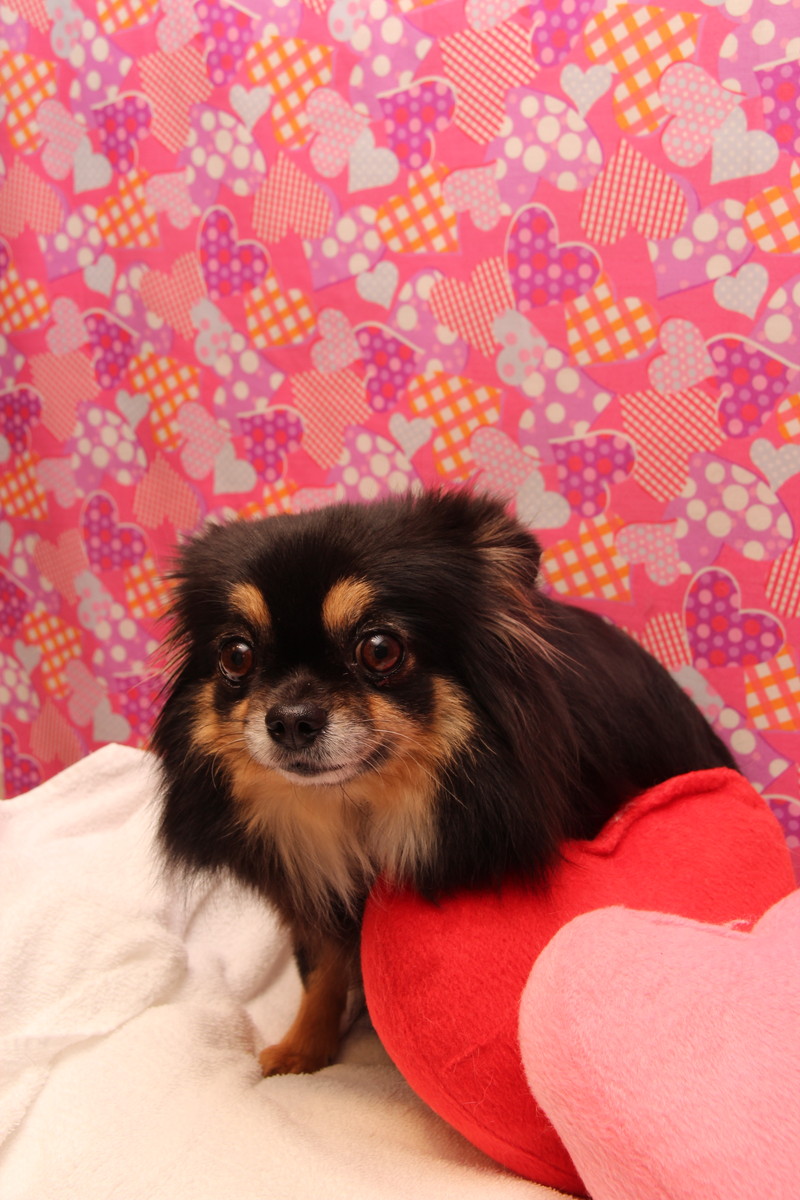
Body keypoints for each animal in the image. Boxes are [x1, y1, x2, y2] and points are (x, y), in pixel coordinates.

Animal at [153, 488, 737, 1076]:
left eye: (380, 649)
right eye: (236, 656)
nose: (291, 720)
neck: (358, 813)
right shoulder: (310, 891)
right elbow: (320, 969)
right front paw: (303, 1048)